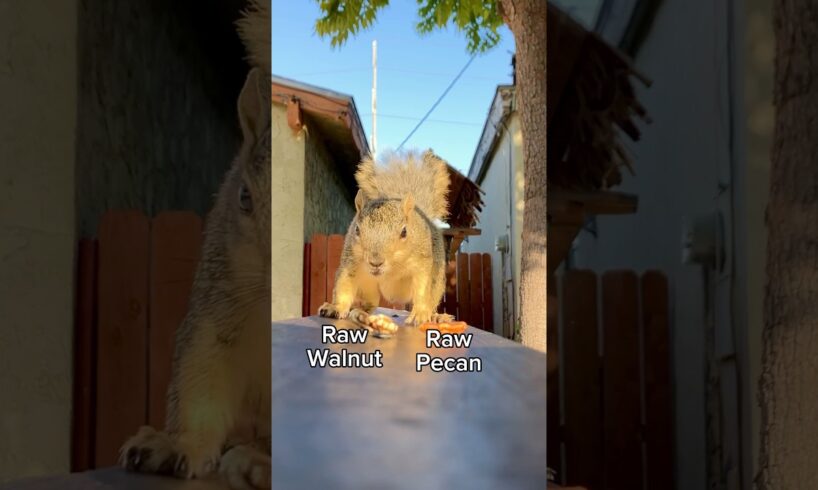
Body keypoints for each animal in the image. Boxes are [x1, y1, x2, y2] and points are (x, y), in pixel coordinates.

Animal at [319, 150, 454, 326]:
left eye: (404, 232)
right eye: (357, 230)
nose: (375, 262)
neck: (392, 268)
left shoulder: (422, 262)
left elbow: (422, 288)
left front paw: (419, 313)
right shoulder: (351, 261)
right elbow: (344, 285)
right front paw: (335, 307)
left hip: (437, 285)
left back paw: (436, 316)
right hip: (367, 286)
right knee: (371, 303)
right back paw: (360, 311)